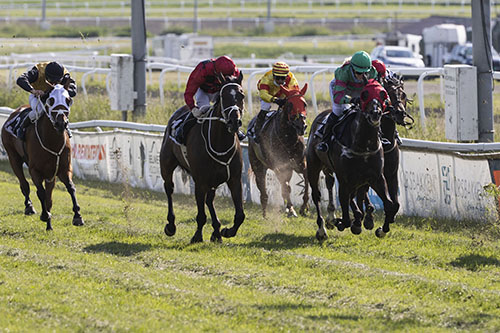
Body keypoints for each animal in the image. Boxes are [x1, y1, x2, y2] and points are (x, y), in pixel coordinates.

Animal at [0, 84, 84, 230]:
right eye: (51, 100)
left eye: (68, 100)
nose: (61, 123)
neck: (52, 142)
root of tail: (13, 113)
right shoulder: (35, 171)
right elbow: (41, 192)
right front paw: (45, 215)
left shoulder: (63, 169)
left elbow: (70, 188)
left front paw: (77, 216)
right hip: (13, 157)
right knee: (24, 184)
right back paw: (29, 207)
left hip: (50, 175)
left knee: (49, 197)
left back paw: (49, 226)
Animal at [160, 77, 246, 244]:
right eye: (223, 96)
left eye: (241, 96)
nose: (234, 121)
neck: (220, 142)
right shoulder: (200, 181)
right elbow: (200, 215)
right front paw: (197, 236)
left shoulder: (234, 179)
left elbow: (240, 215)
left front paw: (226, 231)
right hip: (166, 165)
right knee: (169, 188)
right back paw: (171, 225)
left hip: (213, 180)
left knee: (209, 200)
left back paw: (217, 231)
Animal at [247, 83, 308, 218]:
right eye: (290, 104)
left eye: (305, 103)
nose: (301, 125)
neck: (288, 139)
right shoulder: (279, 166)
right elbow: (285, 188)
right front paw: (291, 209)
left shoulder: (300, 163)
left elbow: (306, 181)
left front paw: (303, 207)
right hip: (257, 165)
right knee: (263, 190)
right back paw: (265, 212)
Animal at [304, 80, 398, 241]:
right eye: (364, 95)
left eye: (382, 94)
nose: (376, 113)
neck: (363, 145)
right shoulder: (345, 179)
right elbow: (347, 212)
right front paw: (341, 222)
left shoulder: (377, 177)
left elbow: (390, 205)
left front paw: (381, 229)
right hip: (313, 167)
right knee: (316, 196)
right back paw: (322, 229)